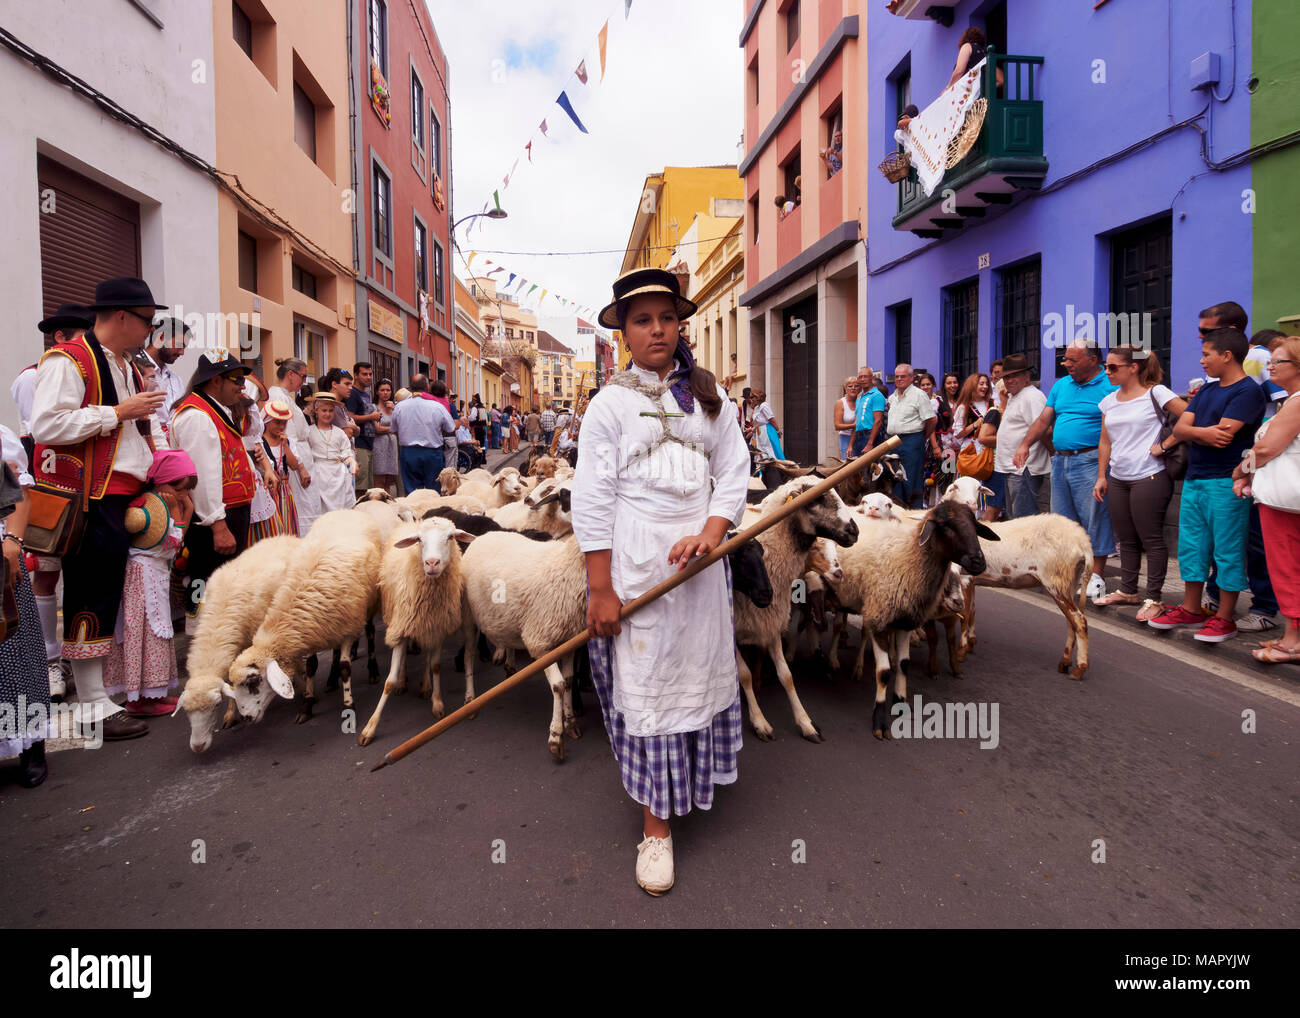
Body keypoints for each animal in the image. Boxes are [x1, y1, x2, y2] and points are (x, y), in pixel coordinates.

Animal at [226, 509, 379, 722]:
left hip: (369, 606)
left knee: (371, 633)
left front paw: (349, 705)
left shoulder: (348, 628)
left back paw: (373, 671)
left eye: (254, 682)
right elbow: (311, 667)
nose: (247, 717)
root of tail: (344, 510)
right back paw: (331, 680)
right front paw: (307, 705)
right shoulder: (314, 632)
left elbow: (345, 668)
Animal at [358, 517, 475, 748]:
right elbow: (389, 681)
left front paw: (437, 702)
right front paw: (370, 727)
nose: (432, 563)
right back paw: (404, 681)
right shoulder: (401, 627)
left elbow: (436, 666)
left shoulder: (437, 627)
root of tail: (413, 521)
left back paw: (425, 686)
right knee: (403, 658)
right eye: (419, 540)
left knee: (428, 655)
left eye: (450, 537)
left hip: (426, 627)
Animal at [733, 478, 863, 738]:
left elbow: (787, 676)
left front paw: (805, 722)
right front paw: (759, 720)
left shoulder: (771, 621)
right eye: (818, 499)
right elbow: (744, 675)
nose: (854, 531)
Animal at [826, 501, 987, 738]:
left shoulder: (905, 621)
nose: (979, 561)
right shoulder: (880, 617)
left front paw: (902, 704)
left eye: (975, 525)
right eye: (946, 526)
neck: (910, 556)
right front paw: (879, 721)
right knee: (836, 626)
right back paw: (831, 659)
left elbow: (904, 665)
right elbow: (883, 673)